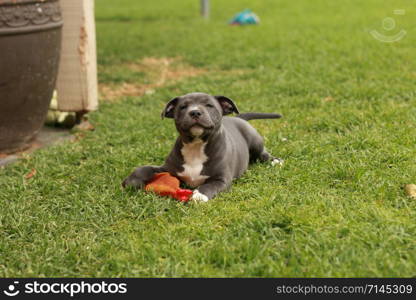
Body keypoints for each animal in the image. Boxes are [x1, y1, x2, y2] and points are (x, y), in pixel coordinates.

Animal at [121, 92, 282, 202]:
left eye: (209, 105)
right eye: (183, 107)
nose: (195, 112)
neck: (196, 146)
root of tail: (237, 118)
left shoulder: (221, 179)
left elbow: (210, 186)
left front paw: (199, 195)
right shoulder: (168, 168)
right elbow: (145, 168)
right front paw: (132, 181)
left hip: (254, 140)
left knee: (263, 153)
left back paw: (275, 161)